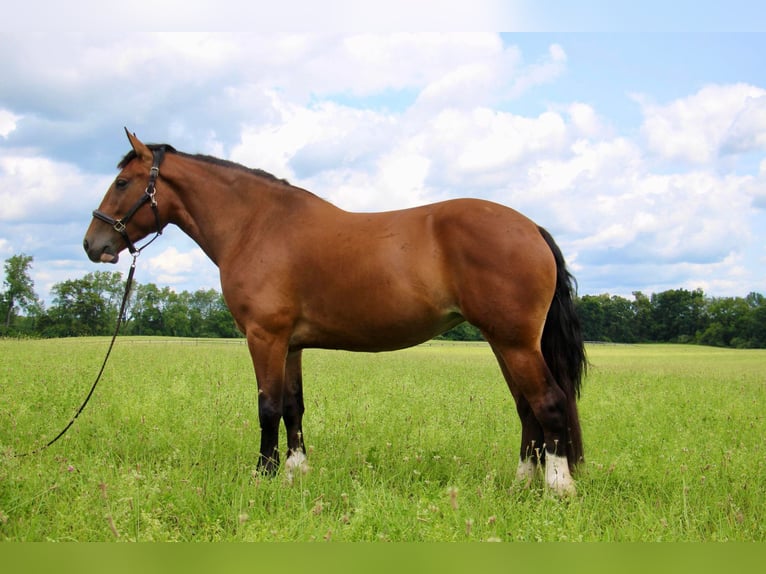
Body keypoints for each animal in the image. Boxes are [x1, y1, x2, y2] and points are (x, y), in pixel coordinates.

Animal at [82, 128, 588, 498]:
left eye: (122, 183)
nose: (93, 244)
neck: (258, 225)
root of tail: (530, 227)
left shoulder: (264, 337)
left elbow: (267, 407)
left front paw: (263, 477)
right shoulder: (290, 344)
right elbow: (292, 406)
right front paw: (295, 472)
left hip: (515, 343)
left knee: (548, 403)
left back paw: (558, 488)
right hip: (506, 343)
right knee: (526, 409)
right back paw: (521, 483)